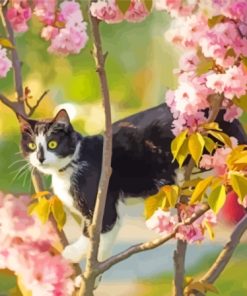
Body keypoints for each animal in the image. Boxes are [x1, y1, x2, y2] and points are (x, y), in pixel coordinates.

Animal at [17, 103, 247, 262]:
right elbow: (98, 233)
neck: (69, 167)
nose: (40, 158)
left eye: (52, 144)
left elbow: (99, 231)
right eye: (31, 145)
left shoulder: (101, 200)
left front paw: (81, 260)